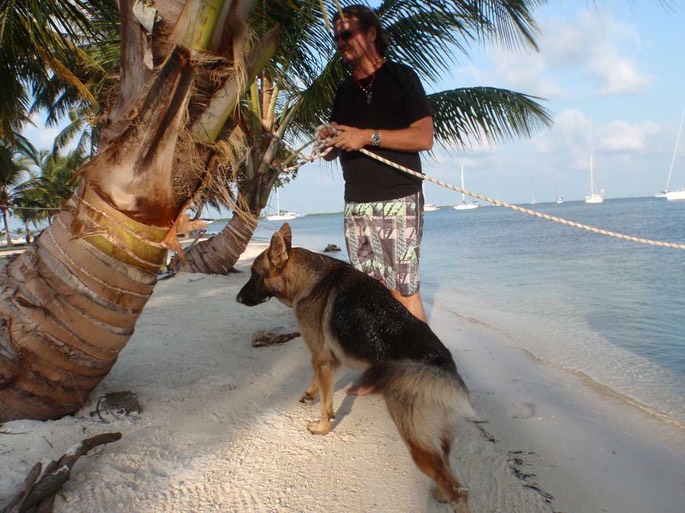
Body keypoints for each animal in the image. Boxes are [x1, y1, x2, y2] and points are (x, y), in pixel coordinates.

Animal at [238, 224, 472, 512]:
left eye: (255, 274)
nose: (237, 298)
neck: (309, 279)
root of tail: (445, 368)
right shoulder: (327, 359)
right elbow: (321, 387)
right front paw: (312, 395)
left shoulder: (321, 357)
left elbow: (325, 404)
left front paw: (322, 427)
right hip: (434, 441)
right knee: (449, 473)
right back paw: (440, 492)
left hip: (417, 441)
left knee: (457, 490)